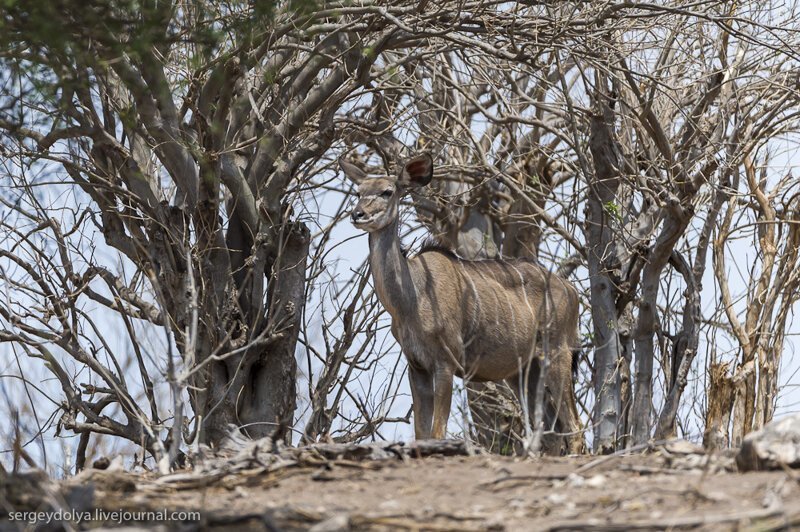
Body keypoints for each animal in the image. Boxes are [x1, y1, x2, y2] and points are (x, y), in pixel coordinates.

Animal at [342, 153, 580, 454]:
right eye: (358, 192)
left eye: (387, 191)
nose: (358, 214)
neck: (412, 297)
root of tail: (571, 290)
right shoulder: (417, 365)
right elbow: (421, 432)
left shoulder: (446, 362)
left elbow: (436, 432)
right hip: (524, 370)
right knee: (551, 430)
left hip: (558, 353)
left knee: (573, 427)